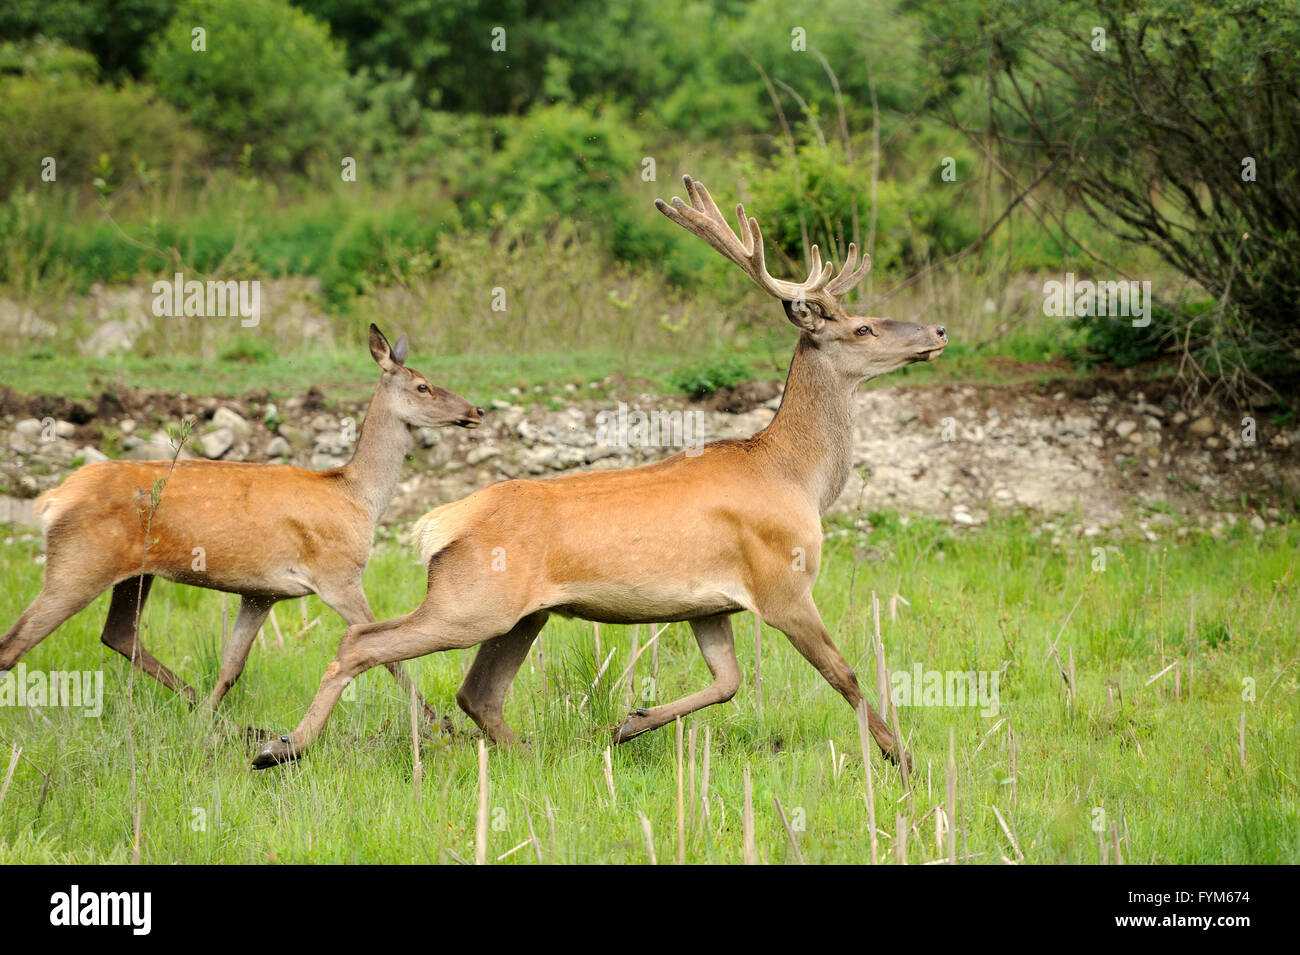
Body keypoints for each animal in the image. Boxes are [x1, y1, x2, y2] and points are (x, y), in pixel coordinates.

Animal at [0, 324, 483, 727]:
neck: (357, 497)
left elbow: (232, 666)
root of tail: (52, 498)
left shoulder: (261, 592)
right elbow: (388, 655)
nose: (476, 409)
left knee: (118, 633)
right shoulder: (338, 575)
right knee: (14, 643)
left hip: (133, 573)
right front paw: (440, 723)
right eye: (423, 385)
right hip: (79, 561)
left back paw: (196, 706)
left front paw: (208, 725)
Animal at [250, 178, 946, 769]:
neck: (796, 476)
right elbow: (844, 675)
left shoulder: (709, 603)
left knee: (478, 691)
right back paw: (279, 749)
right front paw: (903, 760)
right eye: (863, 327)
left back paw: (531, 757)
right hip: (471, 601)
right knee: (363, 642)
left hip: (522, 614)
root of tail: (440, 523)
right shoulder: (783, 581)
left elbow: (728, 681)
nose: (938, 329)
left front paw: (629, 723)